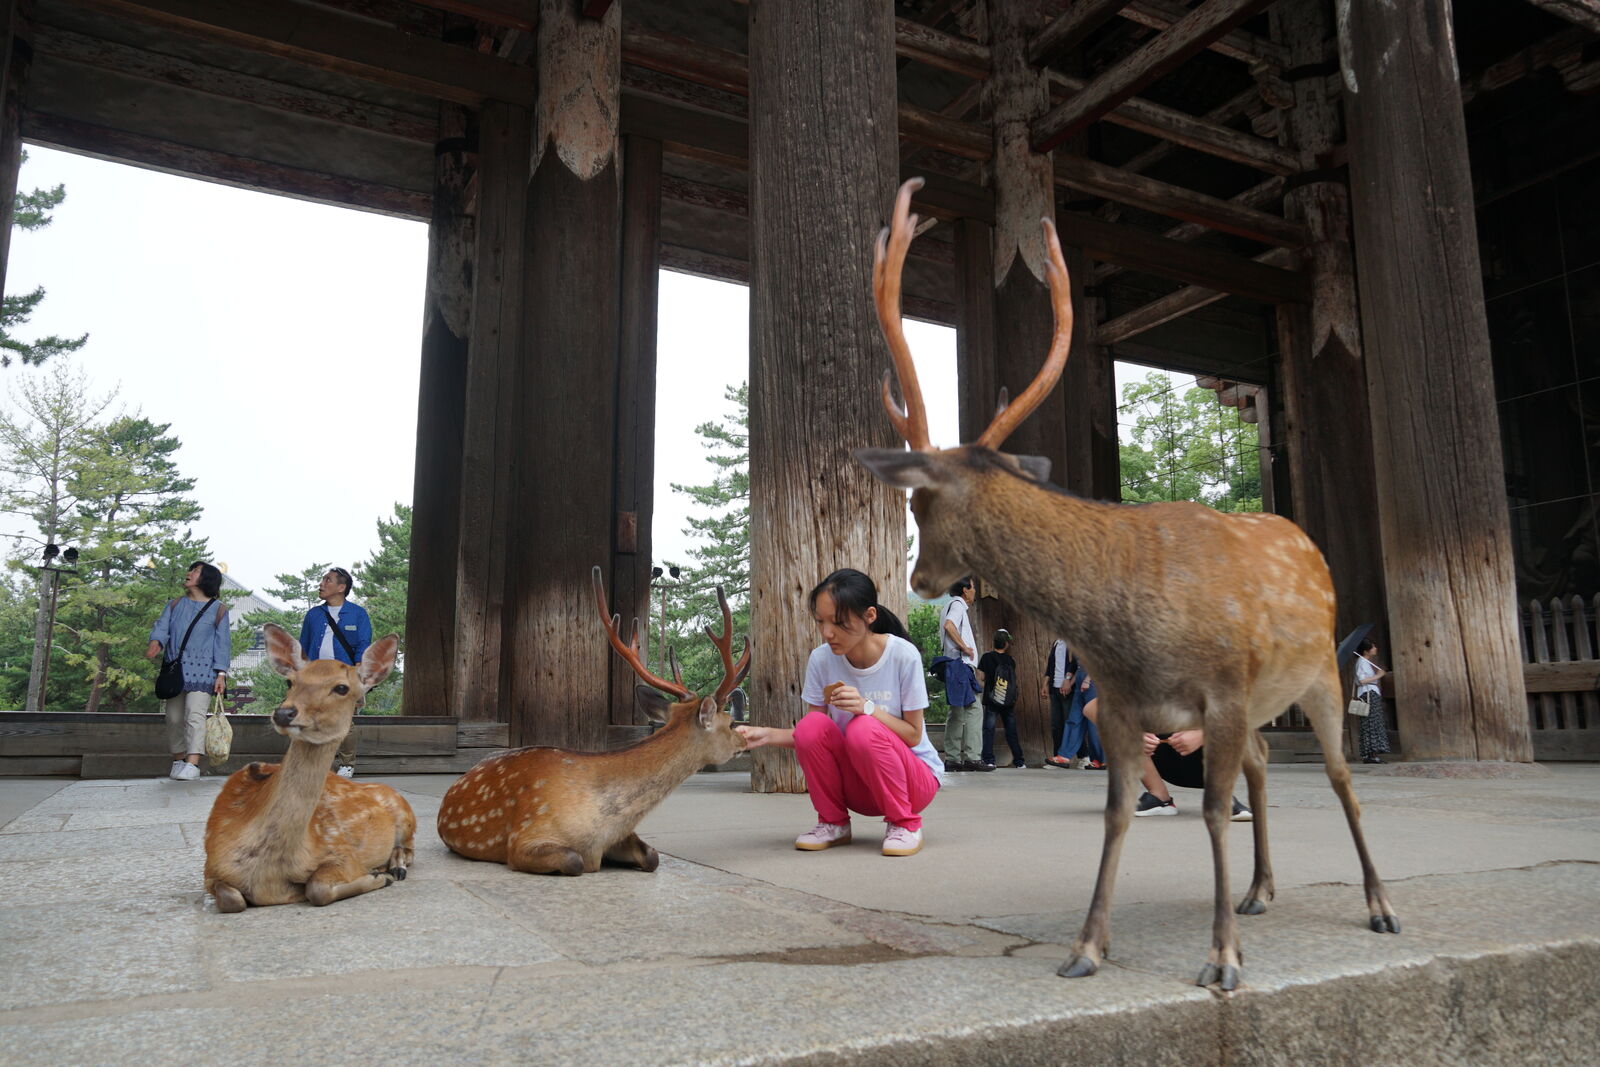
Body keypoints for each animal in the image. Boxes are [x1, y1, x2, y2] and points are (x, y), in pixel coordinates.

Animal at [203, 623, 415, 912]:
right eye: (291, 682)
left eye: (341, 688)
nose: (284, 713)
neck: (268, 874)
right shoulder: (210, 867)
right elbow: (232, 899)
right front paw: (377, 875)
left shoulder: (343, 854)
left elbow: (318, 889)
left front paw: (376, 876)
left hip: (406, 816)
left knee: (409, 850)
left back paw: (395, 869)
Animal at [436, 566, 749, 875]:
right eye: (729, 723)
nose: (744, 738)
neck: (602, 829)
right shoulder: (525, 836)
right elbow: (573, 860)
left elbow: (653, 857)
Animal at [854, 177, 1399, 991]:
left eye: (921, 501)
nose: (919, 579)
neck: (1130, 629)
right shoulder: (1117, 702)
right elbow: (1114, 815)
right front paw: (1087, 946)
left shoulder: (1221, 689)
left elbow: (1212, 811)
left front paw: (1223, 958)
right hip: (1262, 702)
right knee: (1266, 764)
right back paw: (1260, 889)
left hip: (1322, 676)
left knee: (1337, 775)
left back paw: (1378, 905)